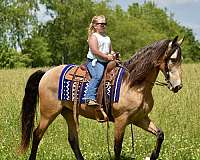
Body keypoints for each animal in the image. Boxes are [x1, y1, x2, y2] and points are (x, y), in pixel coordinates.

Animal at [19, 36, 184, 160]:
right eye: (172, 59)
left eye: (180, 59)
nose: (178, 86)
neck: (133, 84)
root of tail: (46, 73)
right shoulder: (121, 120)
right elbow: (117, 147)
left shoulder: (139, 118)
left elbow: (160, 134)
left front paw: (152, 156)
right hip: (49, 113)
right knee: (37, 134)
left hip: (68, 112)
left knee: (72, 139)